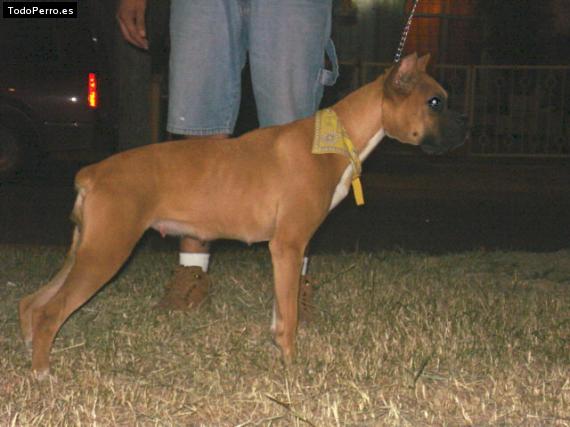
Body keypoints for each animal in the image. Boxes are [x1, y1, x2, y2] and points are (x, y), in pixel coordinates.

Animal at [17, 52, 464, 378]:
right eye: (435, 101)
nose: (463, 131)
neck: (337, 137)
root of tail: (92, 171)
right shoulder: (288, 246)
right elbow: (290, 317)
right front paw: (292, 367)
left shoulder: (287, 252)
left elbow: (283, 310)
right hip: (105, 254)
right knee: (52, 311)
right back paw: (43, 373)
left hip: (84, 251)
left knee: (32, 302)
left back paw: (28, 352)